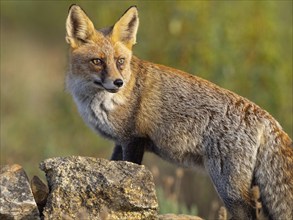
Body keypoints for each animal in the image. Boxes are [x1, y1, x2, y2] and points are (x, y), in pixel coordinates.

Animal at [65, 5, 290, 220]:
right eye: (97, 61)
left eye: (120, 61)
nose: (118, 82)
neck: (98, 102)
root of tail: (267, 117)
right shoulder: (119, 142)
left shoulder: (134, 139)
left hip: (227, 184)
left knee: (248, 212)